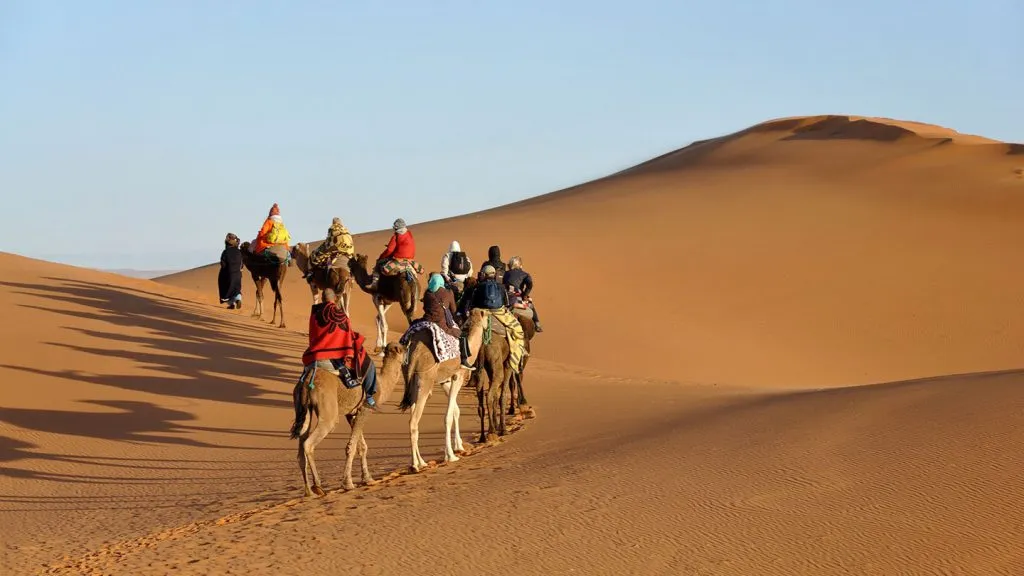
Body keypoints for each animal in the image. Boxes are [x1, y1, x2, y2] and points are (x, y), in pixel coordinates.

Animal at [289, 342, 403, 497]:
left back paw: (308, 492)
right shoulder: (365, 409)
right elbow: (351, 447)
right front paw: (348, 483)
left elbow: (362, 446)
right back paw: (317, 485)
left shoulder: (351, 414)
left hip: (302, 406)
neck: (382, 385)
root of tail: (307, 381)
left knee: (302, 441)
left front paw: (368, 479)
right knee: (310, 442)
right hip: (328, 410)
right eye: (404, 347)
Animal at [395, 326, 476, 472]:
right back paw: (415, 465)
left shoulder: (445, 381)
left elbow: (456, 410)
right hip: (425, 381)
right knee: (413, 422)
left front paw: (459, 446)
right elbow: (448, 416)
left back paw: (421, 462)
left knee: (413, 416)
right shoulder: (457, 376)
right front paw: (451, 456)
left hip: (411, 384)